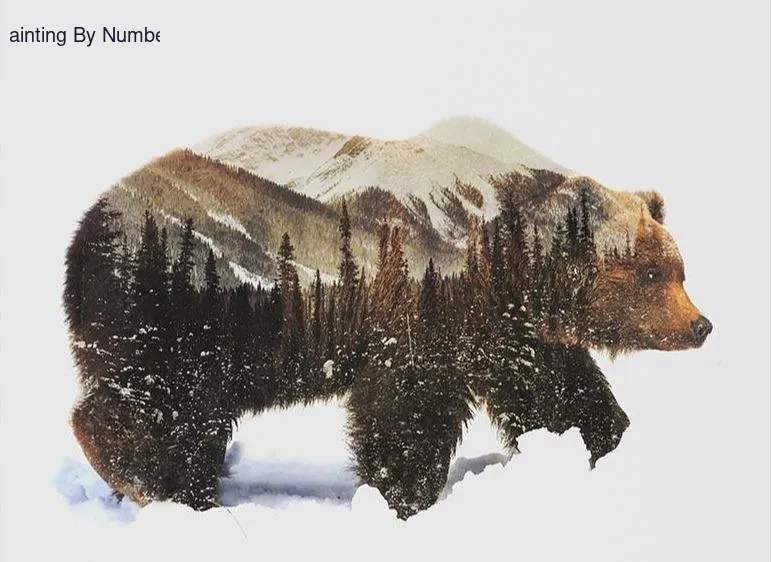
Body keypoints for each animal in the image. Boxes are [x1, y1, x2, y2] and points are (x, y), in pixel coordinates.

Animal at [63, 121, 711, 519]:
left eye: (679, 269)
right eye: (652, 272)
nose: (700, 325)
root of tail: (86, 228)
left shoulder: (504, 327)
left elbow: (554, 392)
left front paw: (604, 442)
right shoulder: (423, 298)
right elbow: (407, 406)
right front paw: (403, 492)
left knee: (192, 417)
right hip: (181, 300)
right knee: (156, 400)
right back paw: (154, 482)